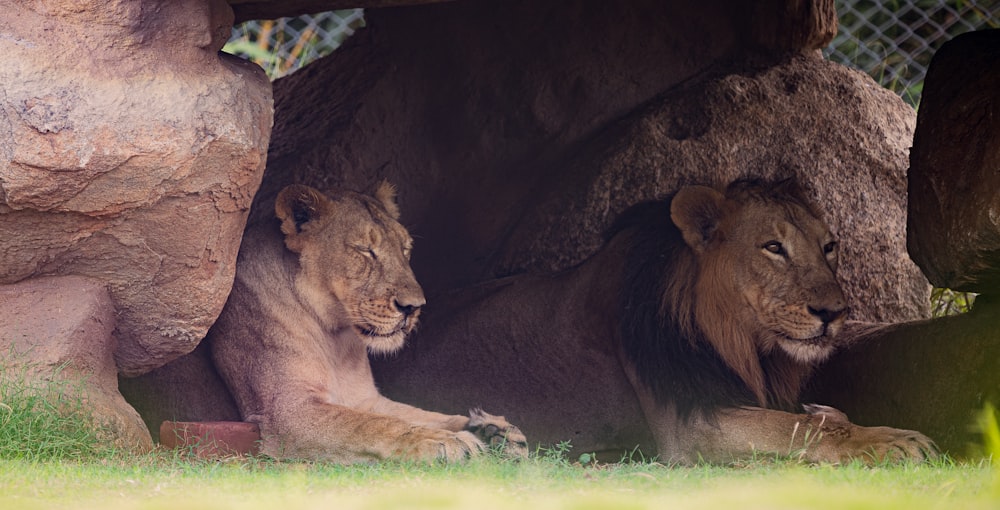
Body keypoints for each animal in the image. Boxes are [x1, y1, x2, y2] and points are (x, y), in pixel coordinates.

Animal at [207, 182, 528, 462]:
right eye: (365, 250)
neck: (335, 337)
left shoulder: (367, 401)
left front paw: (497, 432)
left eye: (405, 248)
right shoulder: (286, 410)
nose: (413, 307)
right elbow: (374, 425)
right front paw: (447, 441)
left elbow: (418, 415)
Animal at [374, 177, 936, 464]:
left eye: (829, 247)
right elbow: (796, 427)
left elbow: (812, 416)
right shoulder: (690, 424)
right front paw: (890, 441)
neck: (744, 344)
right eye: (773, 247)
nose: (834, 313)